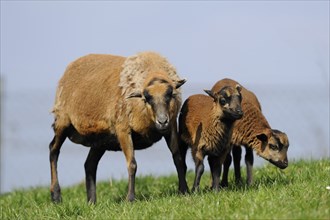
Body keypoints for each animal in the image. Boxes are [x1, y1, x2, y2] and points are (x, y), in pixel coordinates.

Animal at [49, 51, 188, 203]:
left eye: (170, 94)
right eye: (146, 98)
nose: (162, 121)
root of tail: (69, 67)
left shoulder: (172, 126)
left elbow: (178, 158)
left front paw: (184, 191)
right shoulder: (123, 129)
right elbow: (132, 164)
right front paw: (130, 198)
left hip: (100, 139)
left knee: (89, 164)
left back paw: (91, 201)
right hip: (63, 121)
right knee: (53, 150)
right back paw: (56, 196)